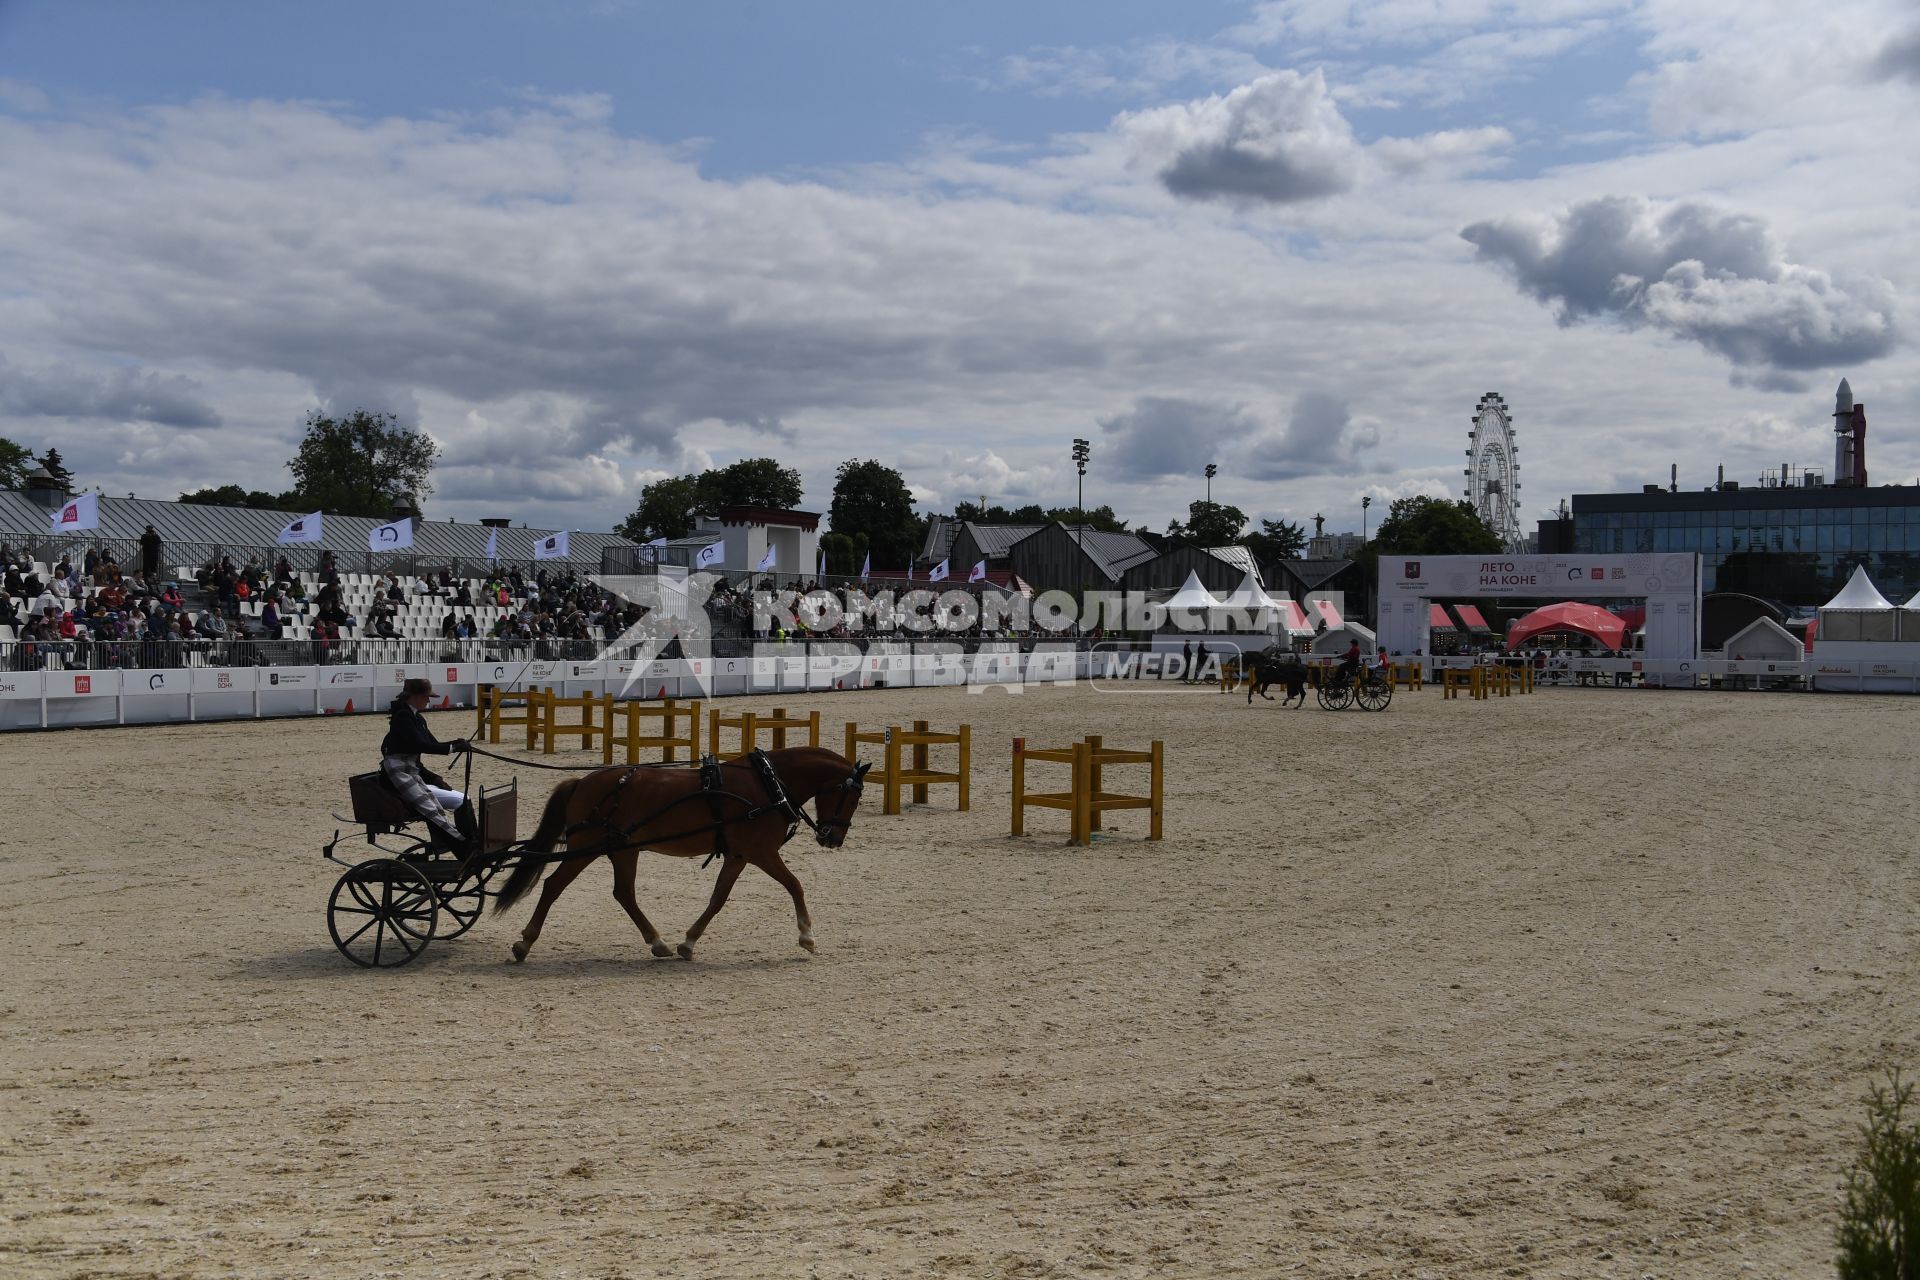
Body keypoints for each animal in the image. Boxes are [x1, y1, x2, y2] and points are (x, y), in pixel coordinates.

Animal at [487, 744, 871, 967]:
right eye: (853, 797)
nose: (833, 838)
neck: (766, 784)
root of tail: (581, 782)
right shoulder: (761, 852)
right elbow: (795, 885)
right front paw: (807, 936)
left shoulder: (739, 855)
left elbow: (718, 898)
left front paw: (688, 942)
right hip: (587, 848)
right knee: (553, 886)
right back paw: (524, 943)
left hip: (623, 850)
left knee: (623, 894)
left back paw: (658, 943)